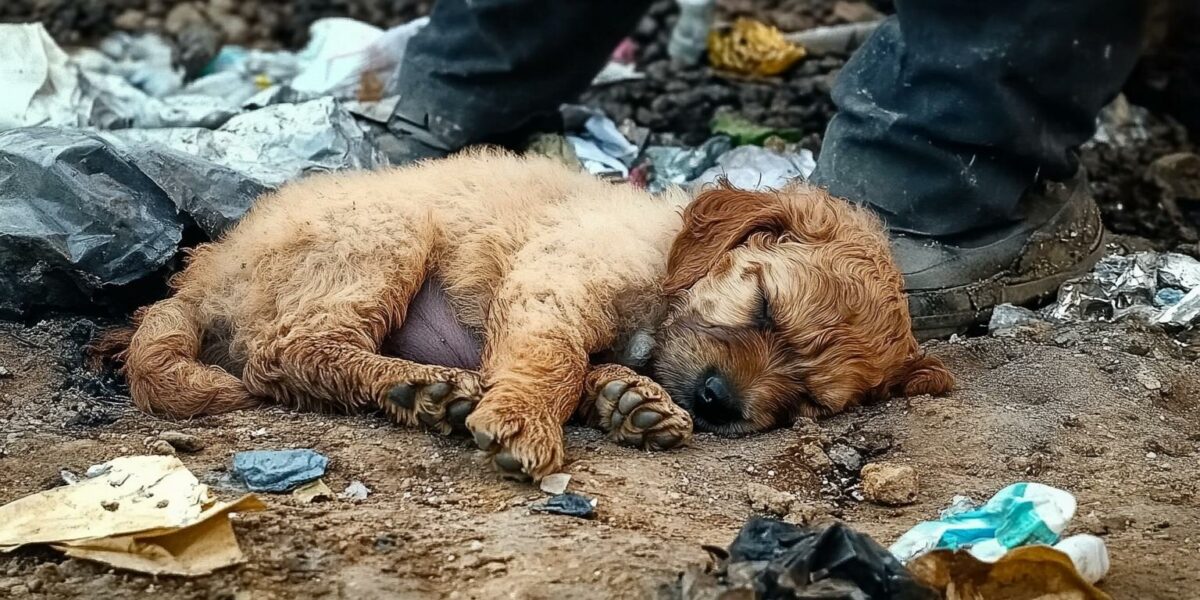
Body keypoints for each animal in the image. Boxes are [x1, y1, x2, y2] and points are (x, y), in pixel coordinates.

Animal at [112, 151, 955, 482]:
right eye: (765, 306)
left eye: (810, 398)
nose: (720, 403)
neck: (669, 258)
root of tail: (206, 269)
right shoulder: (559, 279)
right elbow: (554, 358)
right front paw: (525, 420)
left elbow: (586, 367)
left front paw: (631, 399)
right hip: (385, 235)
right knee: (289, 351)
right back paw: (419, 386)